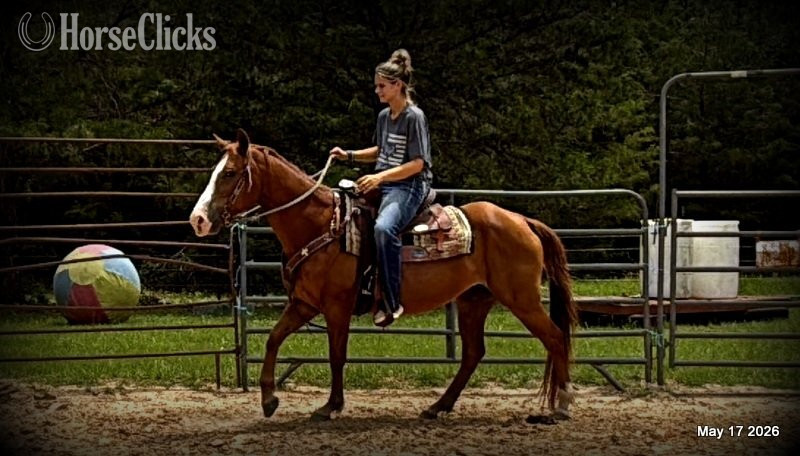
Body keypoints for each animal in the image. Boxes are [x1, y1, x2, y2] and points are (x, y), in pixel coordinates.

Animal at [189, 129, 578, 423]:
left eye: (229, 173)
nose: (198, 220)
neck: (322, 224)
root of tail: (522, 220)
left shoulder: (336, 307)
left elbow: (336, 354)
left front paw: (331, 407)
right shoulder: (304, 304)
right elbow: (273, 339)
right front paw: (269, 400)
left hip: (522, 299)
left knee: (555, 338)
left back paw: (560, 406)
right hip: (474, 300)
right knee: (473, 353)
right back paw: (437, 407)